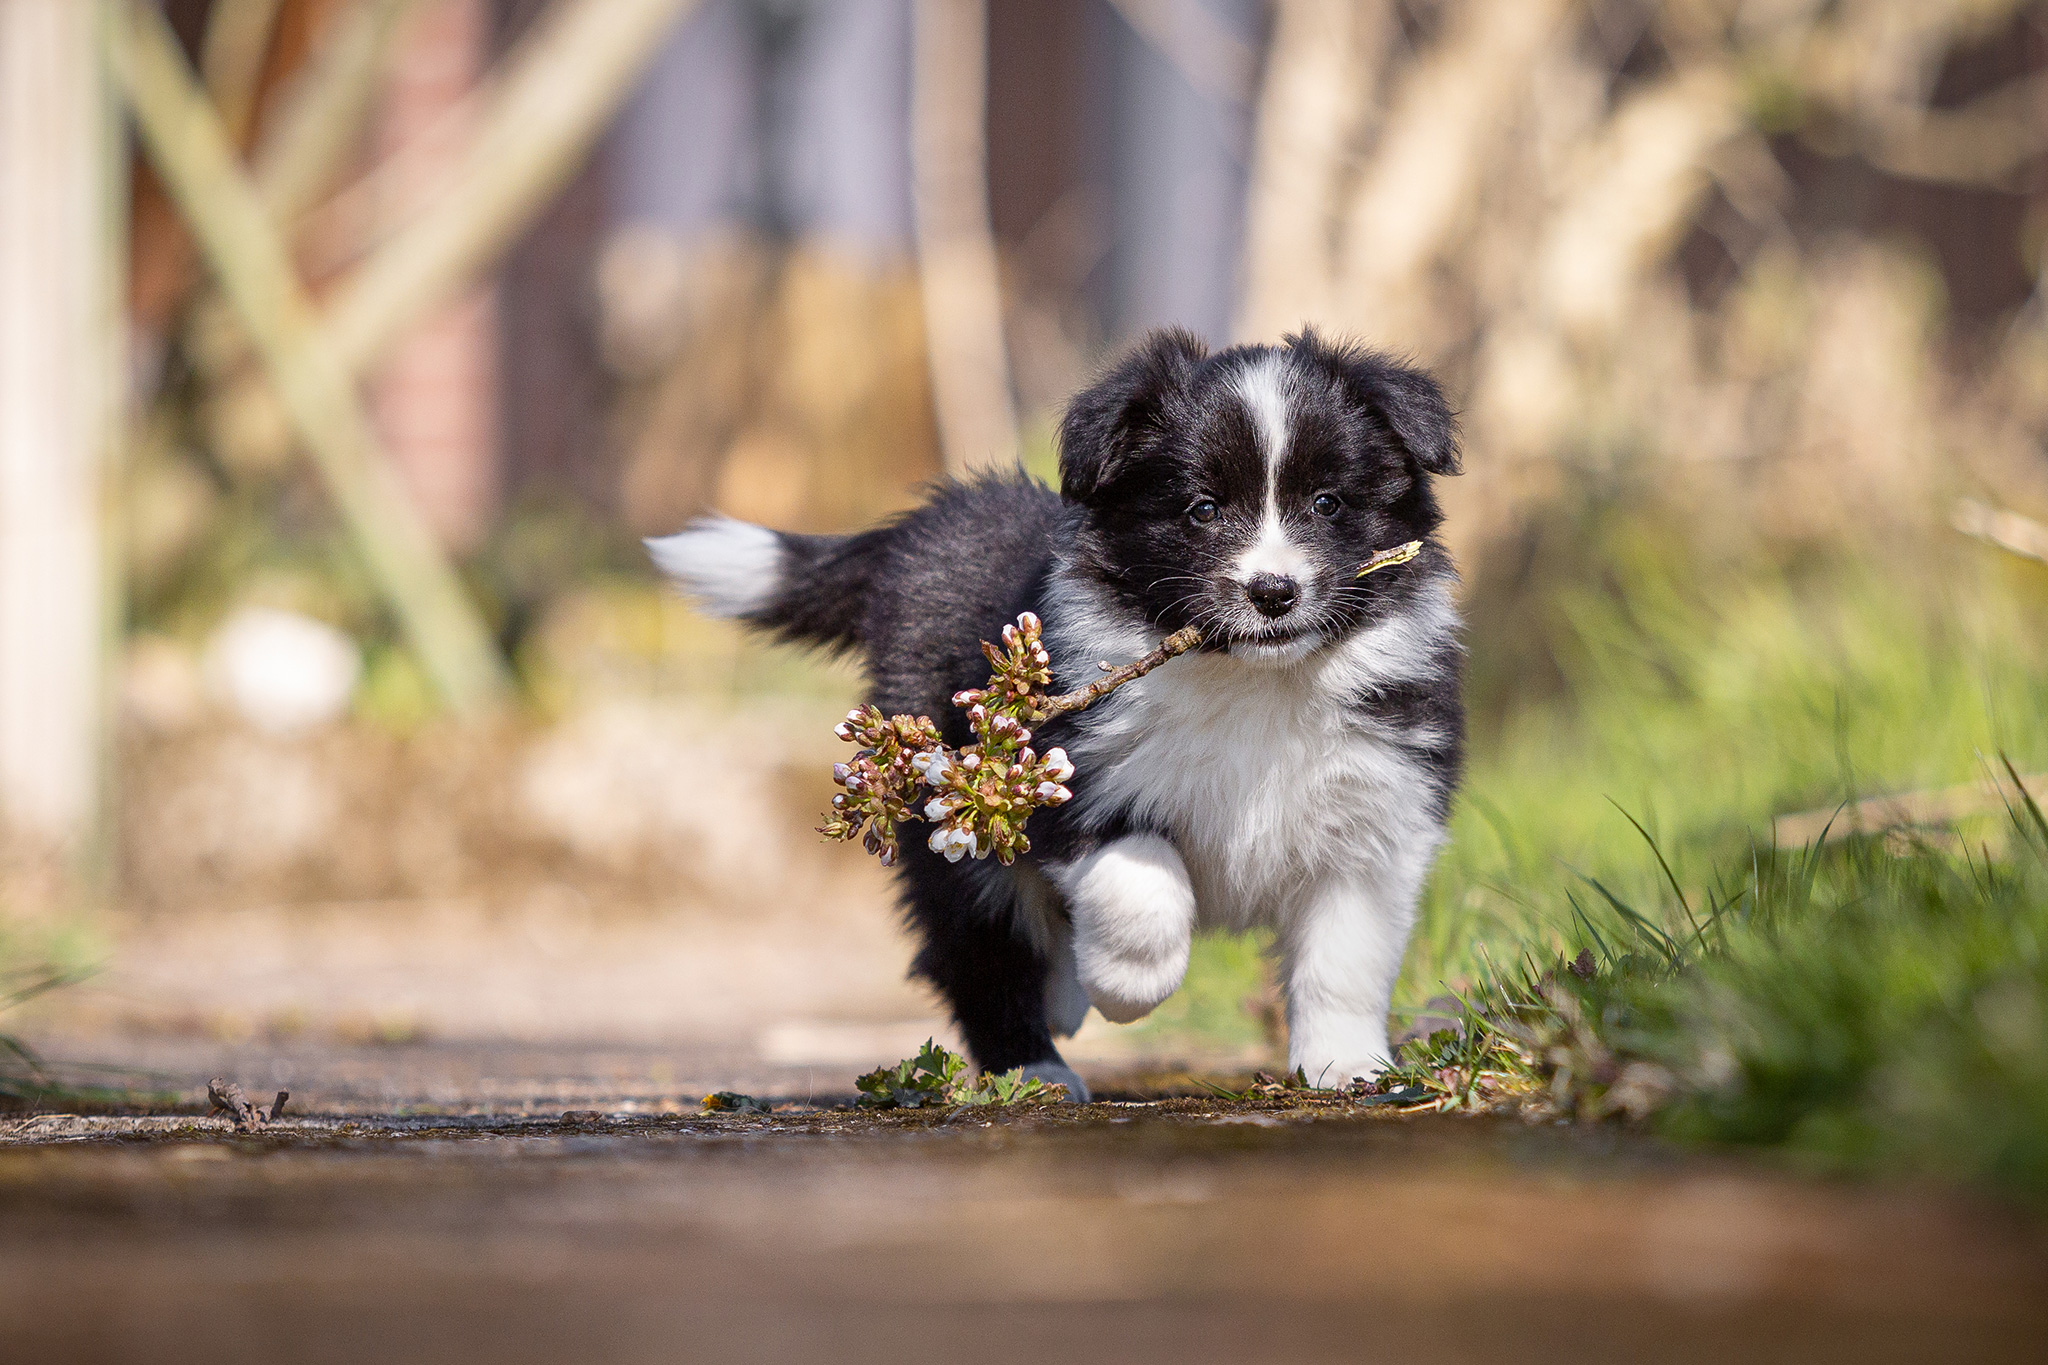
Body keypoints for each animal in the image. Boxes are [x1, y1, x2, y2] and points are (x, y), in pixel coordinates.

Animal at [647, 327, 1466, 1096]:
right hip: (957, 833)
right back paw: (1034, 1067)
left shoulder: (1377, 819)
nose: (1273, 592)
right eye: (1202, 510)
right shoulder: (1074, 777)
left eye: (1328, 503)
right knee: (982, 957)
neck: (1254, 682)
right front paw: (1128, 985)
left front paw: (1348, 1067)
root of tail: (928, 529)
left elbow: (1345, 960)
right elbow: (1144, 878)